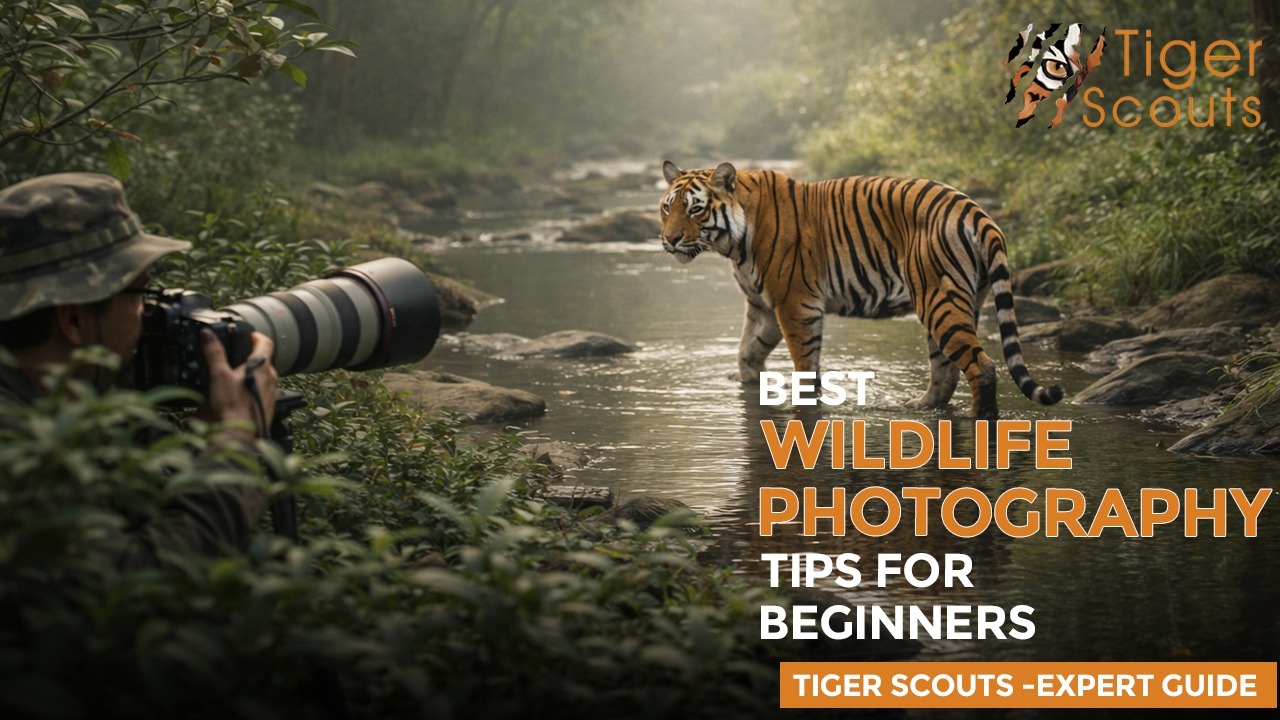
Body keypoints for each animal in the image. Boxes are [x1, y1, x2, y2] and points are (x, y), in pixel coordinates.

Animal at [657, 161, 1062, 419]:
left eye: (695, 210)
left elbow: (805, 368)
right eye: (666, 208)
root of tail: (976, 210)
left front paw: (801, 407)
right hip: (953, 302)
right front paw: (750, 384)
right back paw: (918, 407)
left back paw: (978, 417)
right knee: (945, 373)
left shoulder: (795, 305)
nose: (669, 239)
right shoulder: (763, 307)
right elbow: (747, 352)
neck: (733, 243)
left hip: (937, 299)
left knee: (982, 366)